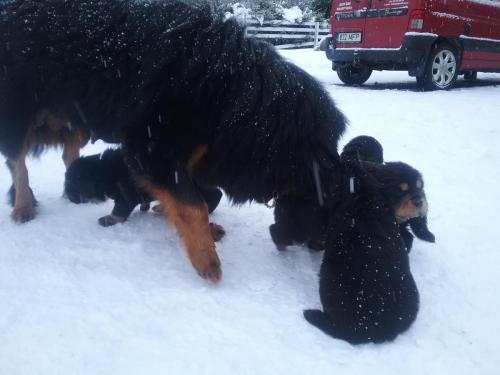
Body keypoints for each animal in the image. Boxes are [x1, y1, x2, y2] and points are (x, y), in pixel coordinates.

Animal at [64, 148, 223, 231]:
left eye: (72, 184)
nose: (68, 198)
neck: (103, 170)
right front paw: (144, 207)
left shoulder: (124, 195)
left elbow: (119, 211)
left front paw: (109, 220)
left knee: (216, 195)